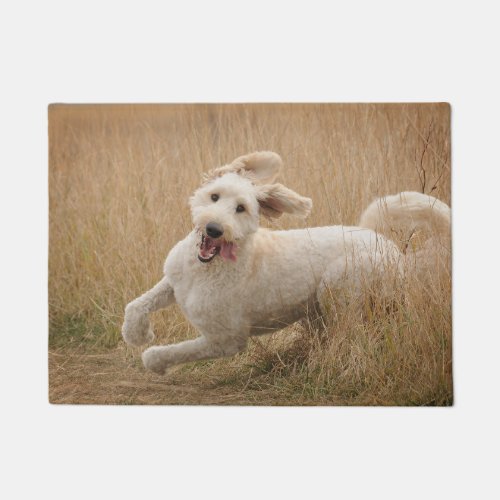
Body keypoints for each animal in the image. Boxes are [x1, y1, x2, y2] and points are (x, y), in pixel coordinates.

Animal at [121, 150, 450, 374]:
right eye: (214, 196)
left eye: (240, 209)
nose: (214, 229)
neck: (206, 270)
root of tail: (384, 241)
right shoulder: (173, 281)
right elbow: (136, 304)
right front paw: (136, 334)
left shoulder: (225, 340)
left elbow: (174, 351)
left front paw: (154, 360)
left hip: (338, 289)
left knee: (351, 334)